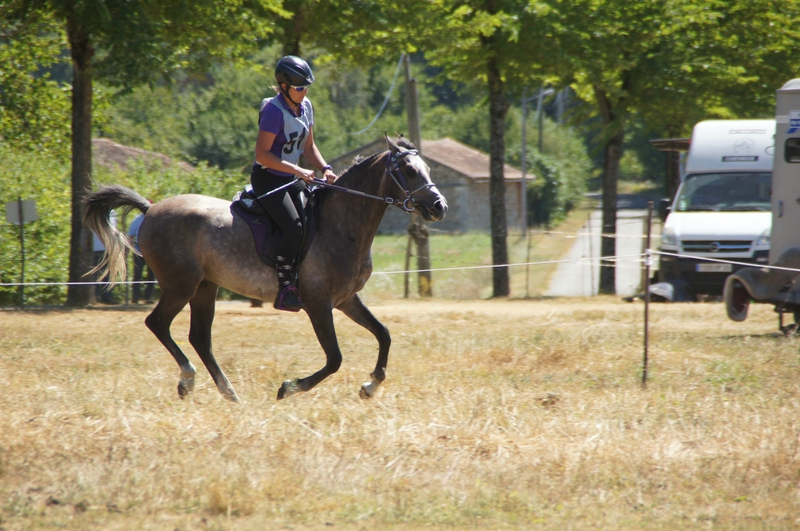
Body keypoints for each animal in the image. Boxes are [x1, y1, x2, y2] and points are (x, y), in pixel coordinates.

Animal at [86, 137, 450, 404]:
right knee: (158, 323)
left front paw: (371, 386)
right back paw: (188, 380)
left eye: (426, 168)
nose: (439, 207)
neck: (340, 224)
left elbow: (383, 334)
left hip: (205, 287)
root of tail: (150, 210)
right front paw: (289, 387)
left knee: (200, 338)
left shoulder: (346, 300)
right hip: (181, 286)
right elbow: (334, 359)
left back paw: (229, 393)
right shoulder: (318, 304)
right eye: (409, 170)